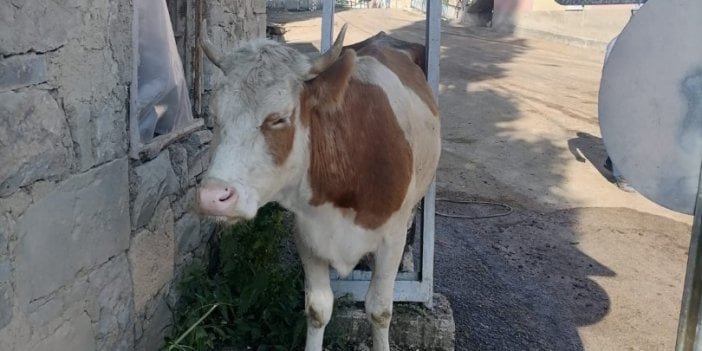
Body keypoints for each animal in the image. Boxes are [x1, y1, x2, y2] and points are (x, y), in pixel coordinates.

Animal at [197, 23, 440, 350]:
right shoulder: (307, 235)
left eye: (279, 119)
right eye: (215, 116)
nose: (212, 196)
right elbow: (317, 309)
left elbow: (379, 310)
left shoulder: (391, 238)